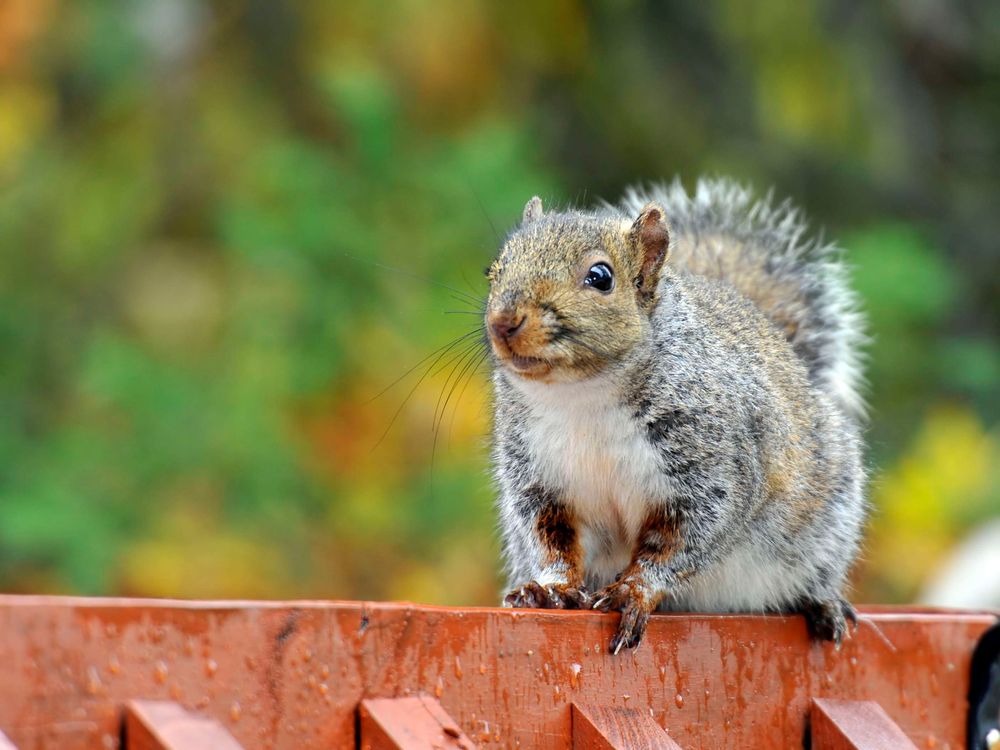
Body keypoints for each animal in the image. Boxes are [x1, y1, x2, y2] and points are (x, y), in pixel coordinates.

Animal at [484, 179, 868, 656]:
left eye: (600, 277)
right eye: (494, 269)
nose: (503, 321)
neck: (582, 397)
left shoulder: (714, 465)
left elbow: (682, 538)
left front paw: (633, 591)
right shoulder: (539, 478)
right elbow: (553, 539)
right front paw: (550, 589)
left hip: (826, 522)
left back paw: (822, 603)